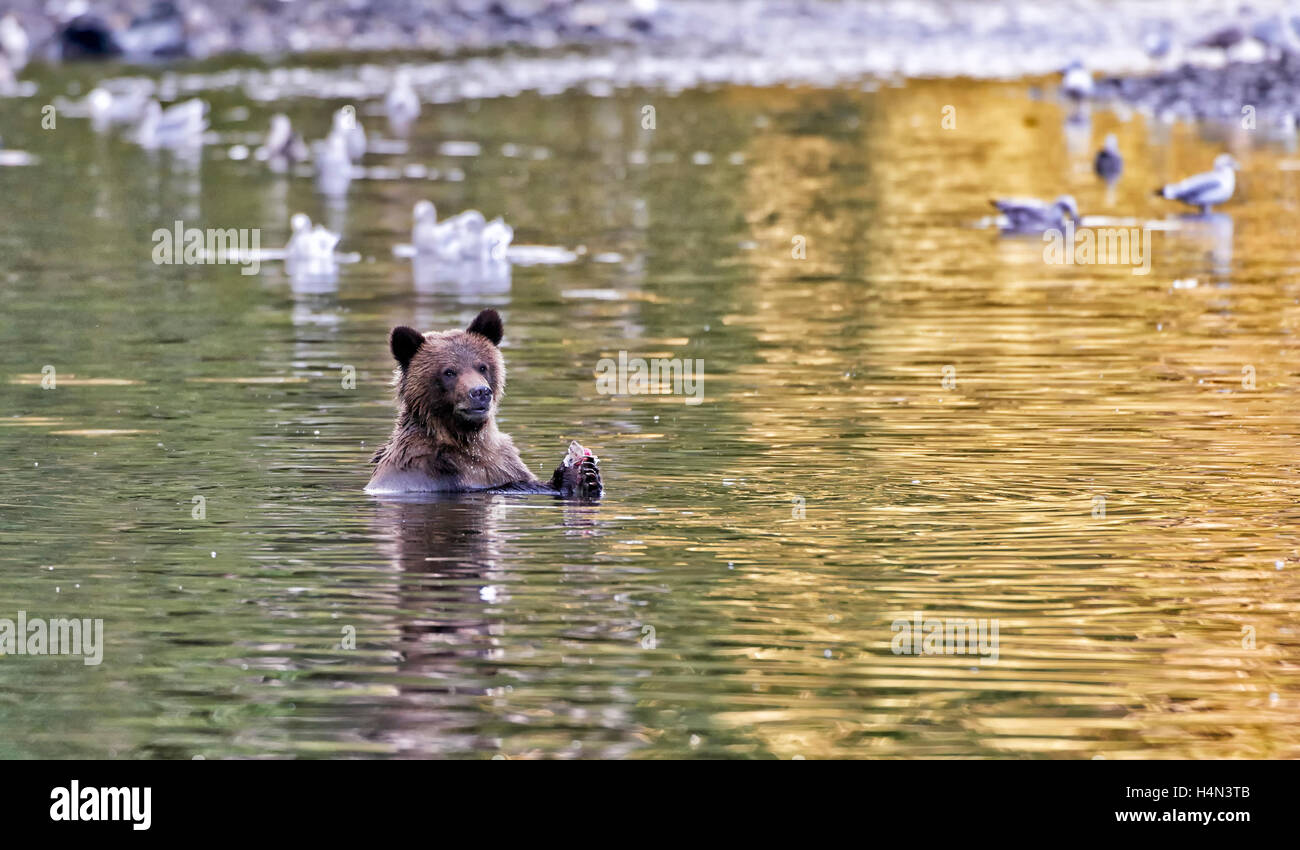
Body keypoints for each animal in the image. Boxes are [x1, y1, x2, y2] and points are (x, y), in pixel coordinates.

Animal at [366, 311, 603, 499]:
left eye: (482, 366)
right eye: (449, 372)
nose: (480, 392)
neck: (466, 437)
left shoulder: (504, 462)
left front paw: (588, 474)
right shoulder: (431, 472)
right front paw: (576, 474)